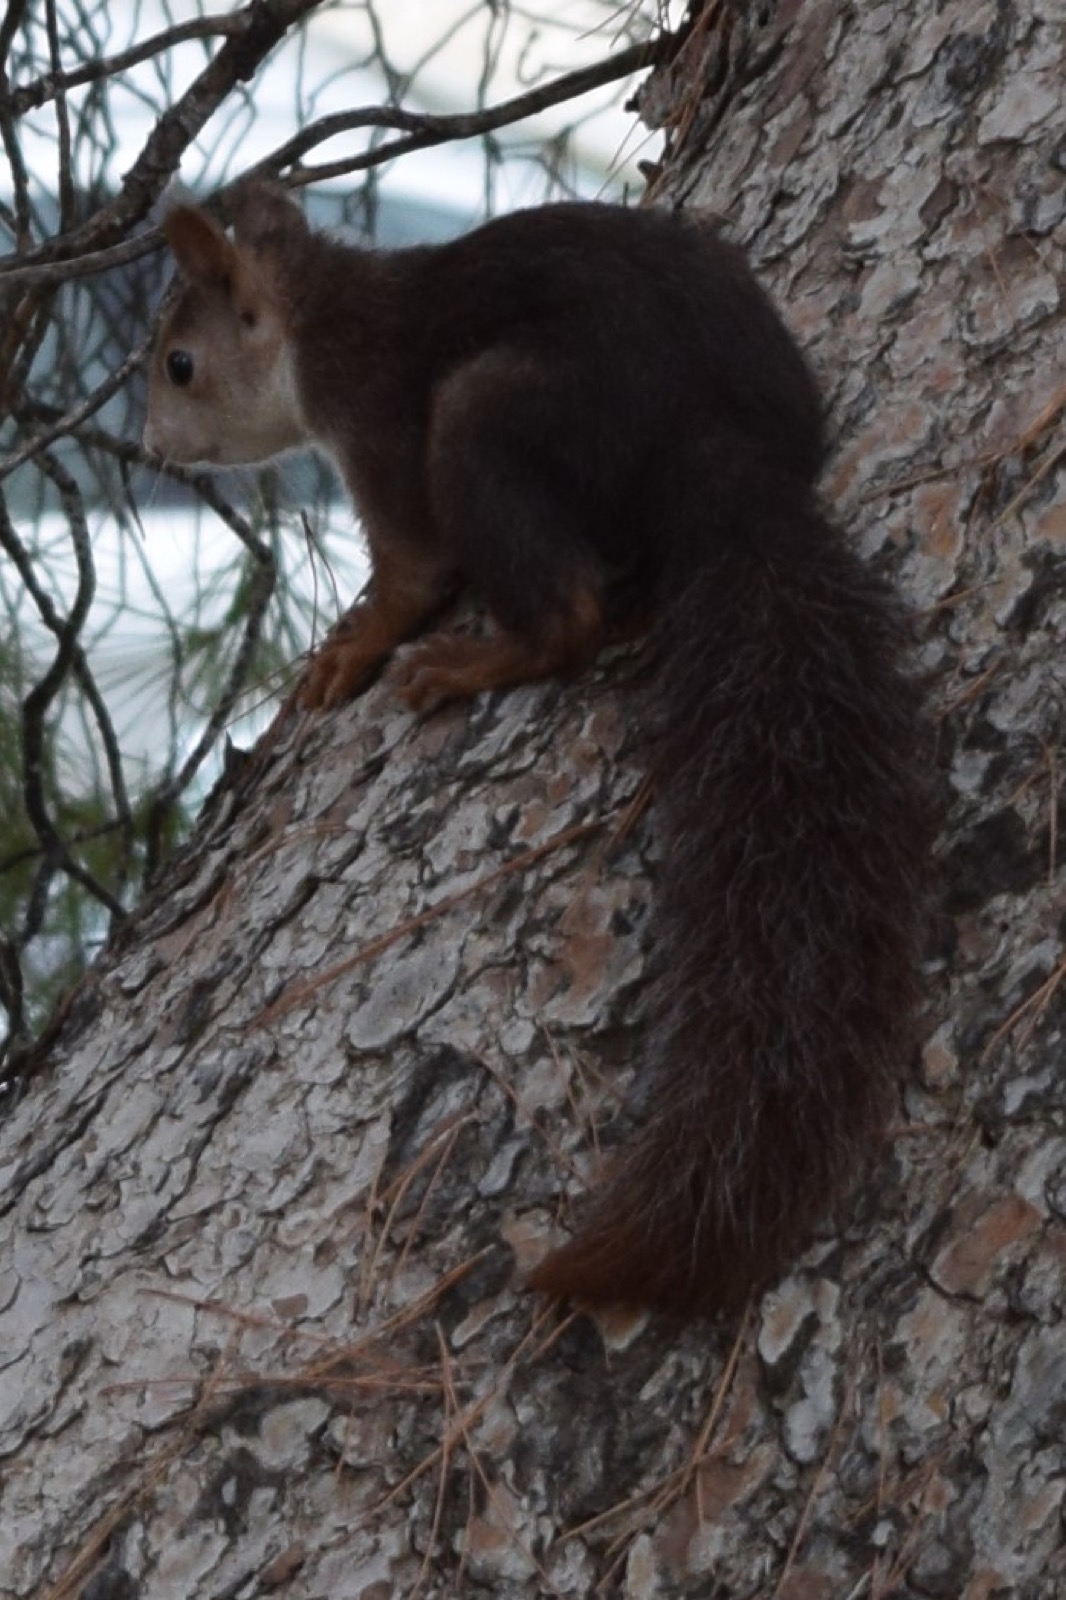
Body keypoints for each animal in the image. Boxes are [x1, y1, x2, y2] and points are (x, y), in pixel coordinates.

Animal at [144, 180, 934, 1315]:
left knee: (567, 613)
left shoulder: (376, 423)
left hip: (490, 414)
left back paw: (465, 665)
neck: (313, 313)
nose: (151, 446)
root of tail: (719, 452)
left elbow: (413, 571)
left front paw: (349, 650)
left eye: (178, 362)